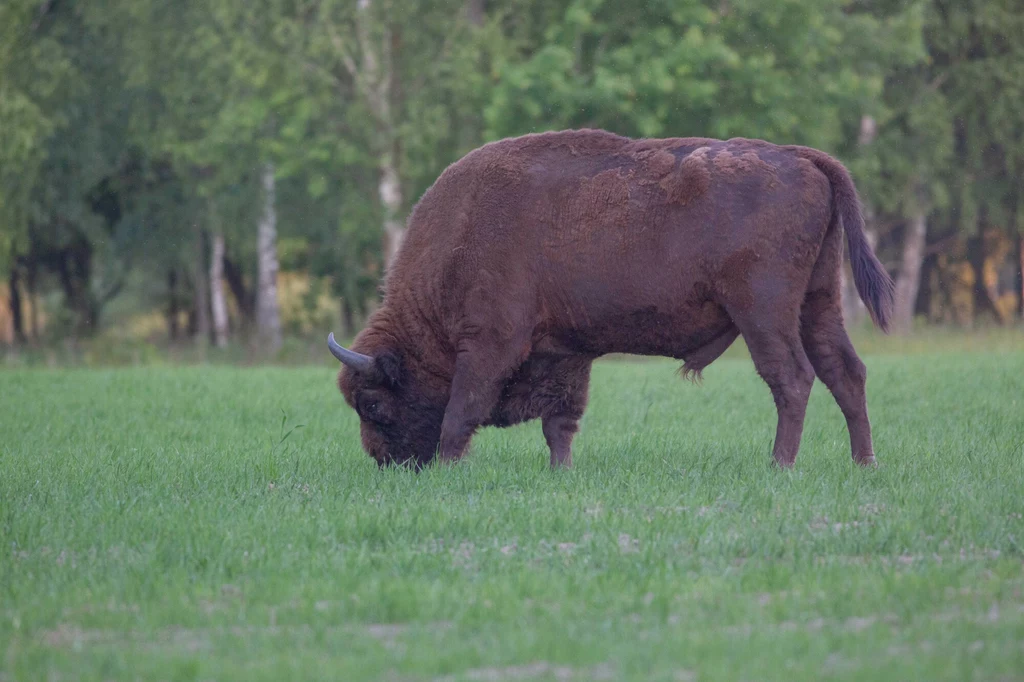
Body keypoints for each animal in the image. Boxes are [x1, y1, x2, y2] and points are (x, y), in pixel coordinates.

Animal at [329, 127, 897, 466]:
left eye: (373, 403)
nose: (385, 462)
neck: (463, 231)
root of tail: (802, 157)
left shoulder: (490, 344)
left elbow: (459, 413)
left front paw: (448, 467)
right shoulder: (565, 352)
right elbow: (561, 423)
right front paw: (560, 472)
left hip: (764, 312)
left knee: (793, 379)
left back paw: (779, 465)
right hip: (818, 303)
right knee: (845, 373)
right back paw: (863, 463)